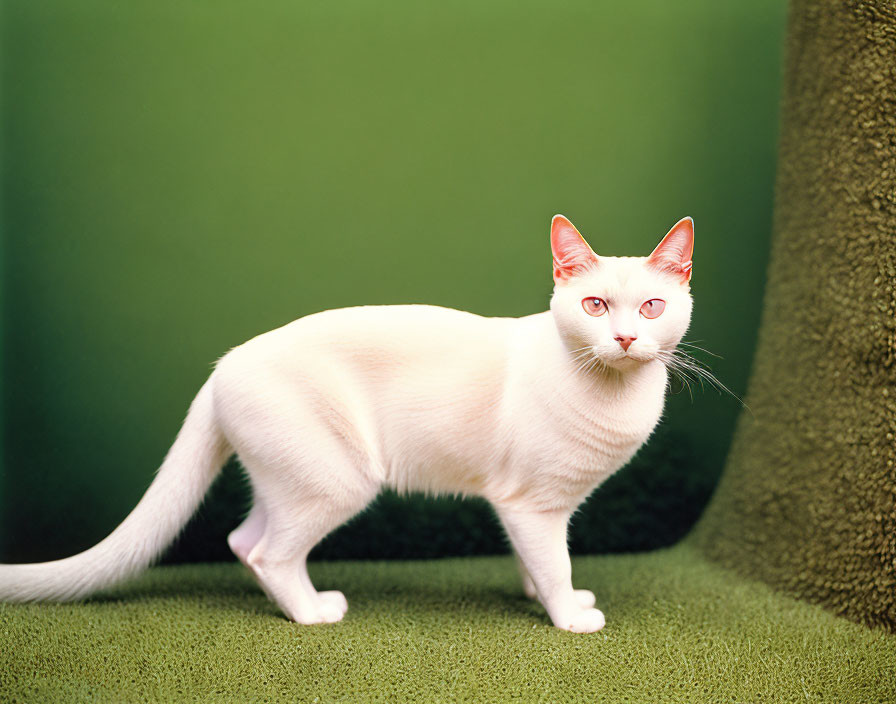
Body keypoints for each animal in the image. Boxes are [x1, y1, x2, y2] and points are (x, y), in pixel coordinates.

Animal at [0, 214, 692, 632]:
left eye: (651, 307)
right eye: (595, 305)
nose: (625, 337)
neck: (616, 396)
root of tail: (224, 366)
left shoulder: (539, 509)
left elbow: (536, 563)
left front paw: (546, 598)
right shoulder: (531, 505)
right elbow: (554, 562)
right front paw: (568, 615)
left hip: (289, 478)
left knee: (243, 540)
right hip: (337, 479)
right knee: (271, 552)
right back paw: (313, 613)